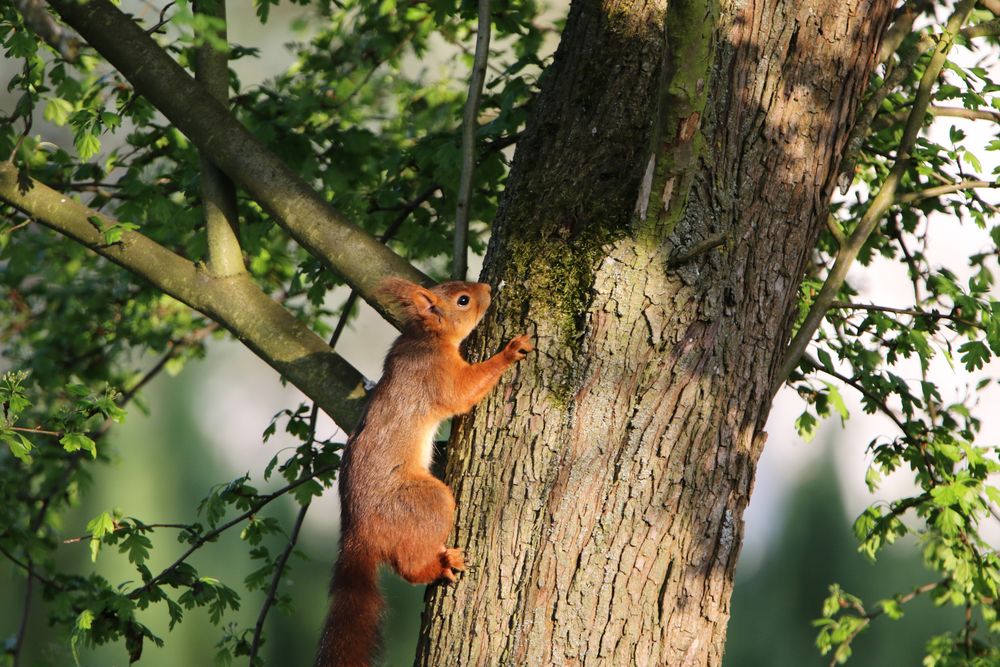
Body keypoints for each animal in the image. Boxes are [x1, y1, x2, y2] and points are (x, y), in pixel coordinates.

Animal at [314, 278, 532, 667]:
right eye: (463, 300)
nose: (488, 287)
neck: (423, 337)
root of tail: (358, 533)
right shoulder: (437, 374)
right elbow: (463, 392)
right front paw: (512, 350)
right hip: (426, 500)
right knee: (409, 566)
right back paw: (440, 566)